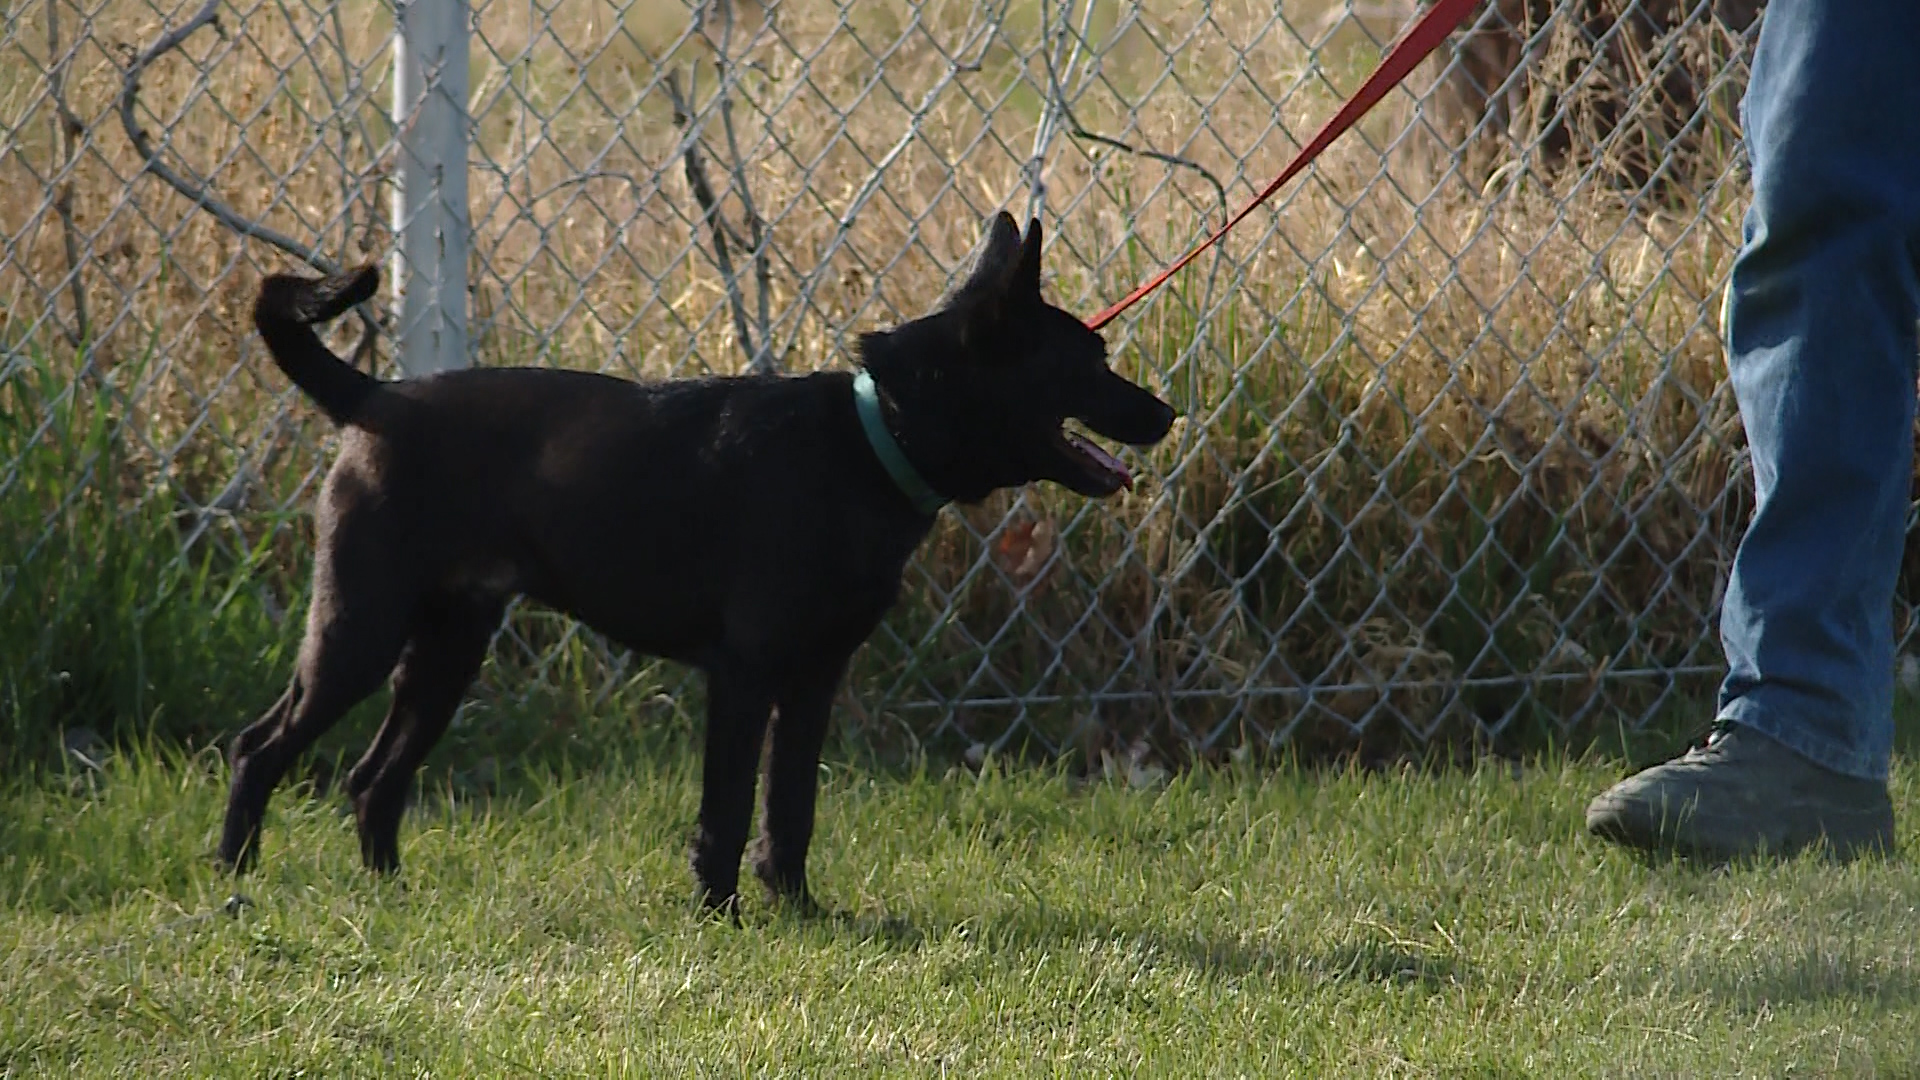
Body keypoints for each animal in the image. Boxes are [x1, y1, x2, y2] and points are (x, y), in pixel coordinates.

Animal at [217, 210, 1175, 907]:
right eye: (1089, 361)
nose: (1166, 413)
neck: (870, 442)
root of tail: (372, 400)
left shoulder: (815, 679)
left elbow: (792, 806)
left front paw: (797, 910)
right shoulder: (745, 673)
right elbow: (729, 806)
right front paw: (720, 915)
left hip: (446, 651)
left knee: (372, 779)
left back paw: (392, 896)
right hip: (358, 629)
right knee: (260, 748)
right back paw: (234, 882)